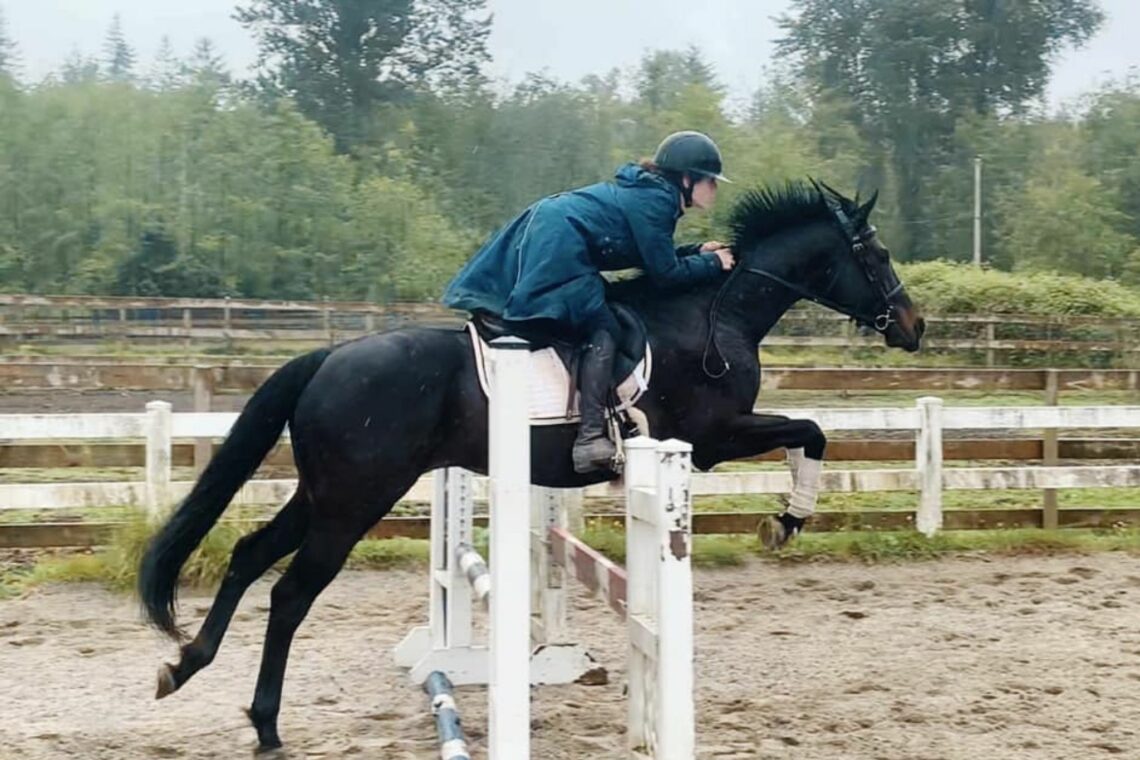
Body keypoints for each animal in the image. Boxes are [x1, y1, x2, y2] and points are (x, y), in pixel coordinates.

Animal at [138, 180, 925, 753]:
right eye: (879, 255)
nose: (914, 326)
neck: (715, 312)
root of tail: (327, 357)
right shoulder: (709, 440)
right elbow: (813, 432)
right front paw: (785, 522)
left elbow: (809, 433)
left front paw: (785, 520)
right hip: (355, 499)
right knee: (292, 592)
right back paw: (265, 722)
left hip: (323, 492)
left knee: (248, 555)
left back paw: (185, 666)